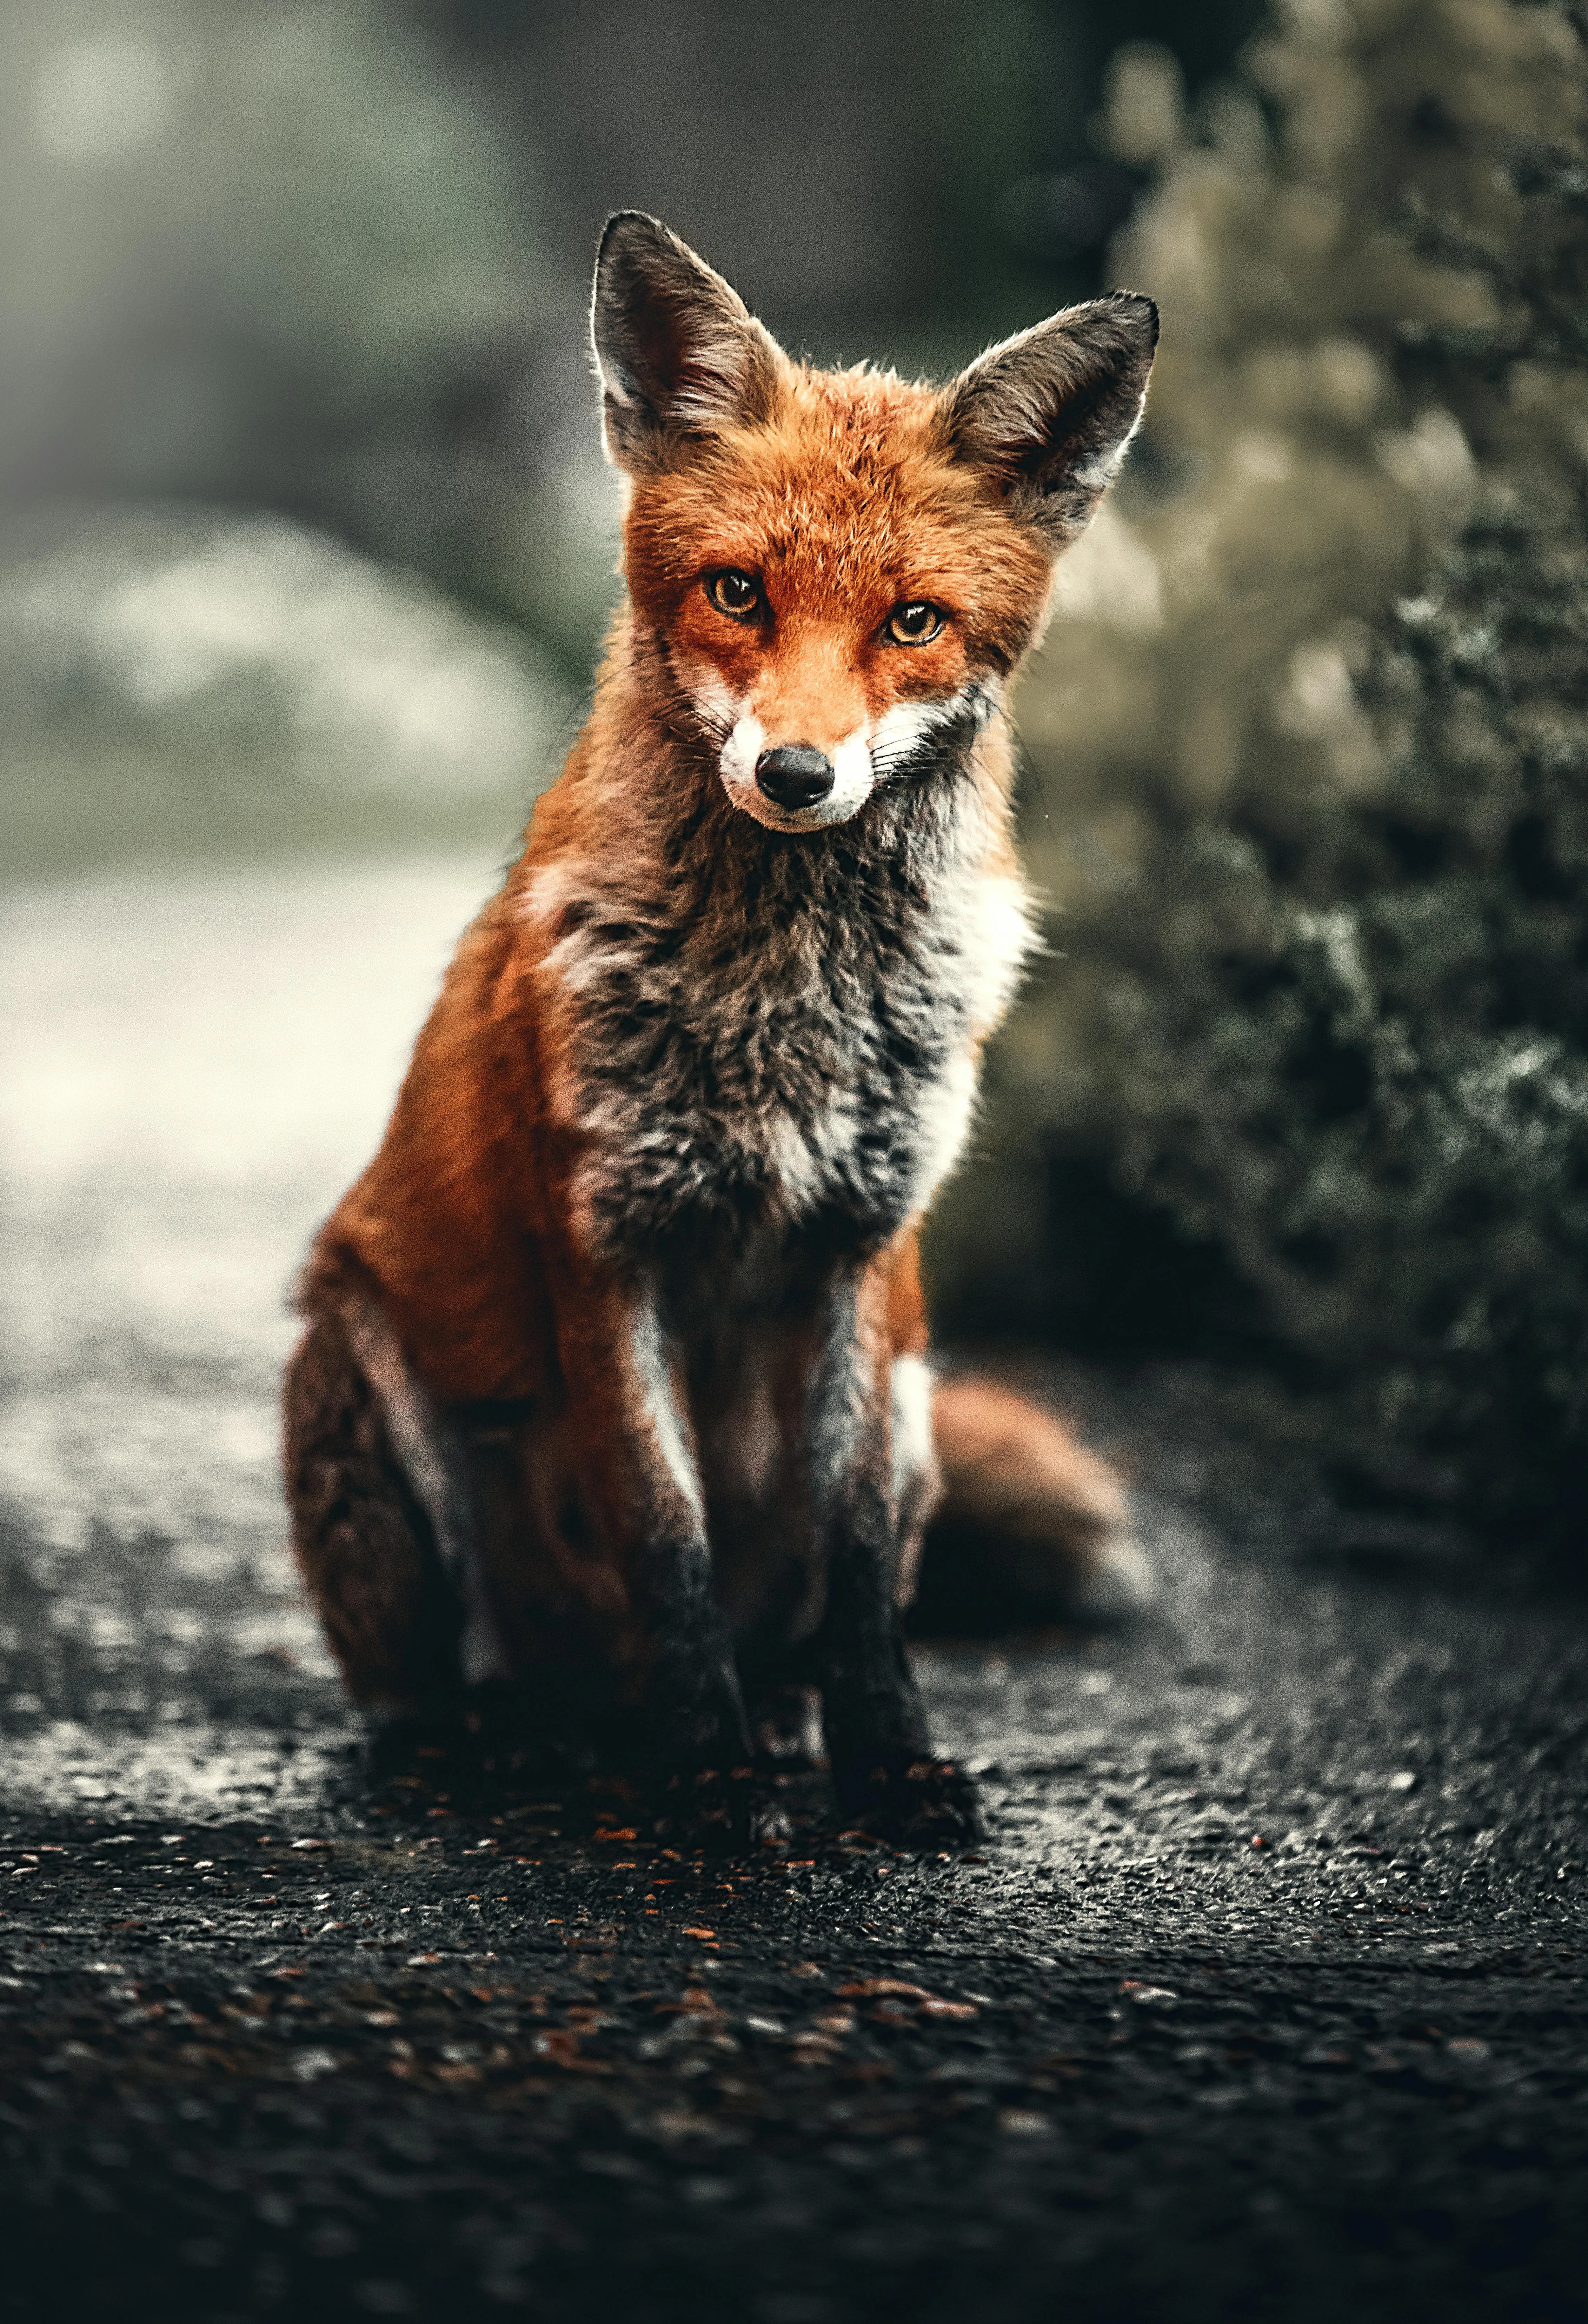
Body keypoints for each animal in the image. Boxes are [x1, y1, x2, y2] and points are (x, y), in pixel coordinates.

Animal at [283, 212, 1157, 1848]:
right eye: (739, 592)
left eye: (914, 621)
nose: (798, 775)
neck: (785, 1007)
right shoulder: (605, 1245)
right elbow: (665, 1535)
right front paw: (706, 1779)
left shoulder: (866, 1255)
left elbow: (861, 1567)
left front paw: (887, 1762)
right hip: (362, 1376)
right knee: (441, 1688)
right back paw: (512, 1744)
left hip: (923, 1397)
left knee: (799, 1624)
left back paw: (775, 1725)